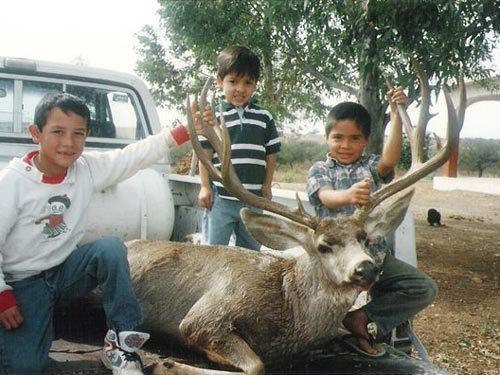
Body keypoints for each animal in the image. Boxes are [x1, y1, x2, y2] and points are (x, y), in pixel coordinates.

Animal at [128, 67, 464, 375]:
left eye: (365, 240)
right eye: (323, 246)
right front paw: (167, 363)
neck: (288, 314)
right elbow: (256, 365)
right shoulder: (204, 315)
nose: (366, 268)